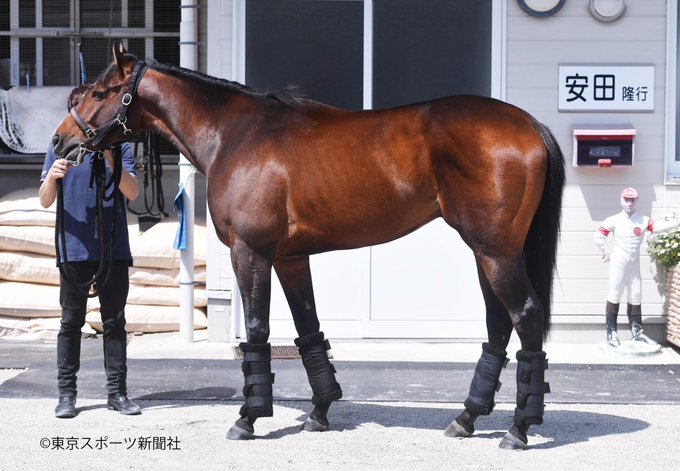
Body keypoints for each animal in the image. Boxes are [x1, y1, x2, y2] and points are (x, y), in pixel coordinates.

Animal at [51, 43, 565, 450]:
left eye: (99, 93)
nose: (60, 142)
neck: (235, 134)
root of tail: (530, 124)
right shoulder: (291, 258)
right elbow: (308, 328)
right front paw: (320, 411)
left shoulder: (250, 252)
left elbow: (257, 330)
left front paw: (248, 418)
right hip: (487, 252)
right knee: (499, 323)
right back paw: (466, 418)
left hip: (495, 252)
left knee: (525, 317)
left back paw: (519, 429)